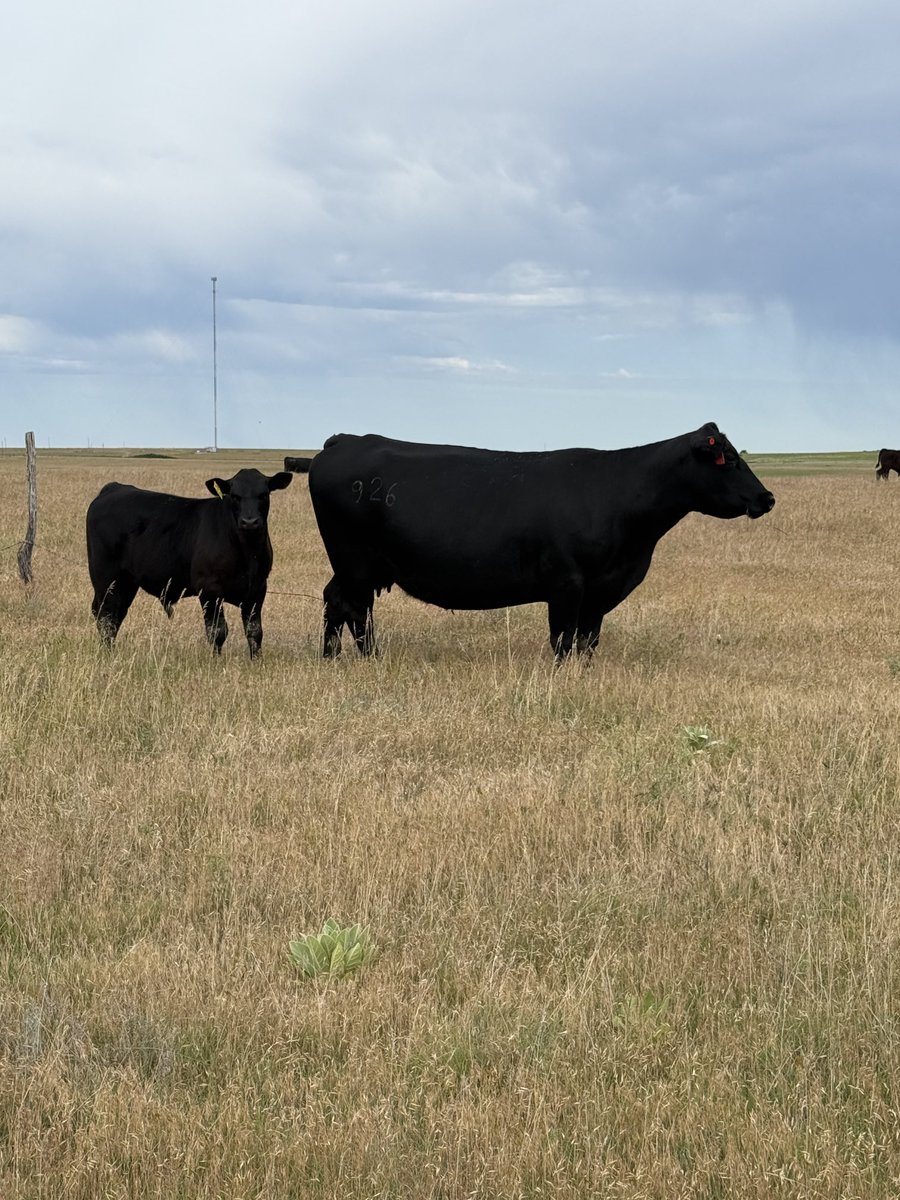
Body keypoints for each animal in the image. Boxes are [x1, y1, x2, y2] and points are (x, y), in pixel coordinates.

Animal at [86, 468, 292, 657]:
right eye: (234, 496)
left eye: (263, 494)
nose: (249, 522)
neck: (248, 553)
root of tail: (114, 488)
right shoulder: (209, 590)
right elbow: (217, 631)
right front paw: (216, 661)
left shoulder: (257, 589)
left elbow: (254, 631)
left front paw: (256, 661)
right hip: (106, 578)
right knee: (105, 615)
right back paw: (107, 653)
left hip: (127, 582)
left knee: (116, 614)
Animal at [308, 423, 775, 660]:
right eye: (728, 460)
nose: (767, 497)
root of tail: (344, 440)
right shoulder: (567, 582)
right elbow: (563, 638)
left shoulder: (600, 590)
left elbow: (588, 638)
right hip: (354, 560)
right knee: (354, 608)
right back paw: (370, 658)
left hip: (356, 565)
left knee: (336, 601)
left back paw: (332, 657)